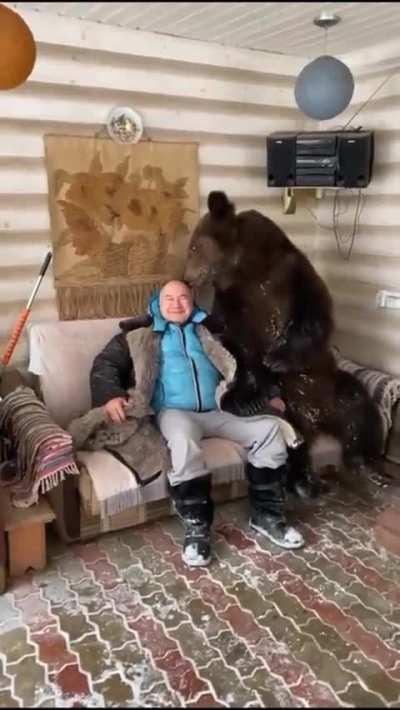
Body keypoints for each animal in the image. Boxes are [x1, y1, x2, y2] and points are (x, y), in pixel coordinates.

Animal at [184, 190, 384, 494]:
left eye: (194, 245)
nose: (186, 276)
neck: (244, 268)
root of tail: (319, 418)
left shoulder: (289, 272)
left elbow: (312, 313)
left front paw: (277, 357)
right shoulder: (233, 301)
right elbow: (233, 339)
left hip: (332, 386)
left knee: (360, 410)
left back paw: (364, 462)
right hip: (288, 407)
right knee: (293, 442)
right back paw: (302, 477)